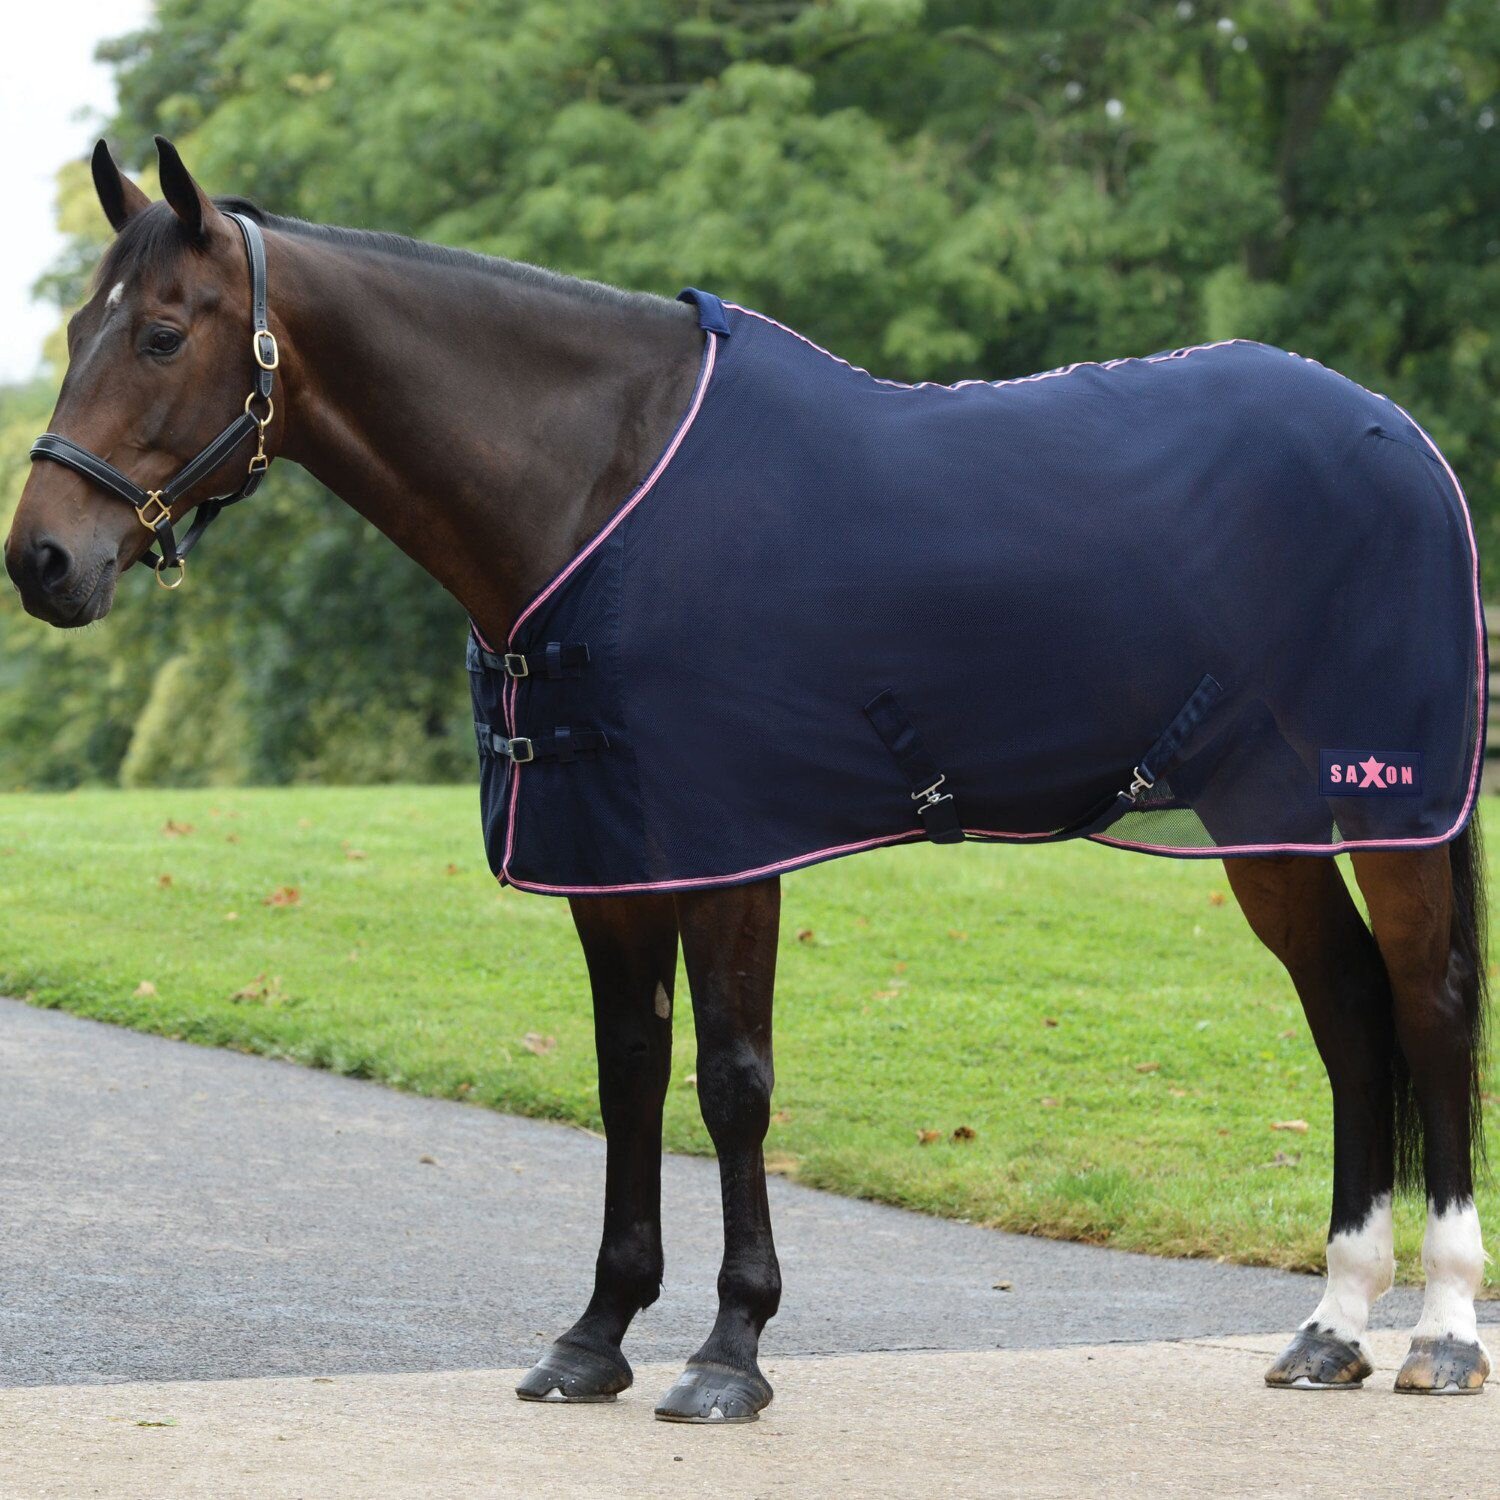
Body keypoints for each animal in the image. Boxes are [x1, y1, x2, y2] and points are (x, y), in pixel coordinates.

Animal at [6, 137, 1489, 1419]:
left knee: (1427, 1008)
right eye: (77, 327)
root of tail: (1398, 436)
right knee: (1349, 1016)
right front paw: (594, 1338)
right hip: (1263, 819)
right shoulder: (609, 857)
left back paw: (1442, 1334)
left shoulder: (729, 850)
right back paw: (1331, 1329)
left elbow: (731, 1082)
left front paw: (730, 1351)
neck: (598, 488)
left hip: (1394, 806)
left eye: (161, 333)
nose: (42, 561)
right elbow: (626, 1074)